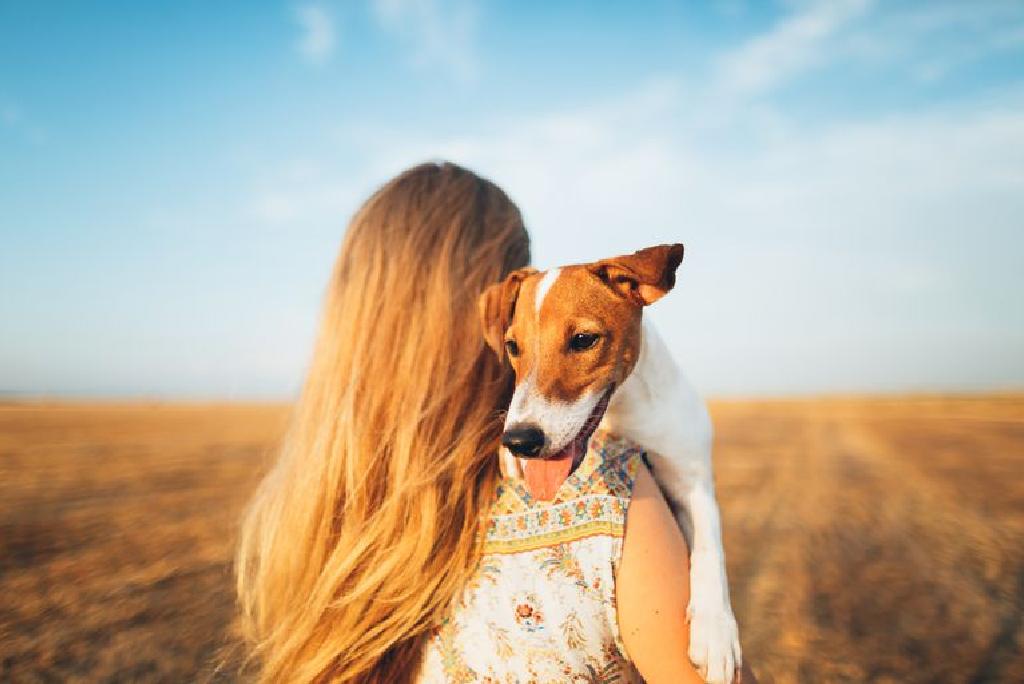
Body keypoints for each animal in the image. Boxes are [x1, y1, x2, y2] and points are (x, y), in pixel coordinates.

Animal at [475, 244, 741, 684]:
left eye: (584, 339)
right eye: (513, 347)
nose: (520, 441)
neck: (623, 417)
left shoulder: (692, 478)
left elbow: (709, 547)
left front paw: (716, 631)